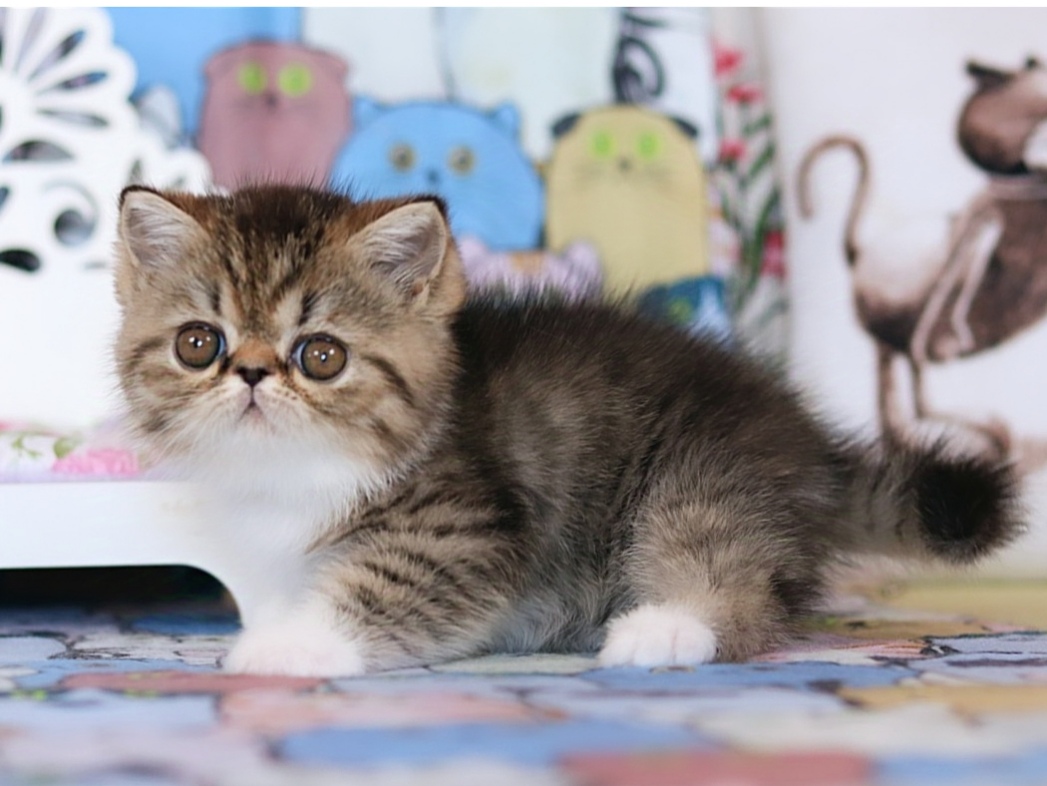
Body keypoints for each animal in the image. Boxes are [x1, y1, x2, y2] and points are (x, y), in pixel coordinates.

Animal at [112, 184, 1021, 678]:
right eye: (200, 344)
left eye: (321, 355)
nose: (252, 374)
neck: (291, 472)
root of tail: (808, 442)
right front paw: (273, 623)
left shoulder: (467, 526)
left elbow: (392, 582)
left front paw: (293, 644)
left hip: (706, 470)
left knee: (732, 568)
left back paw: (667, 626)